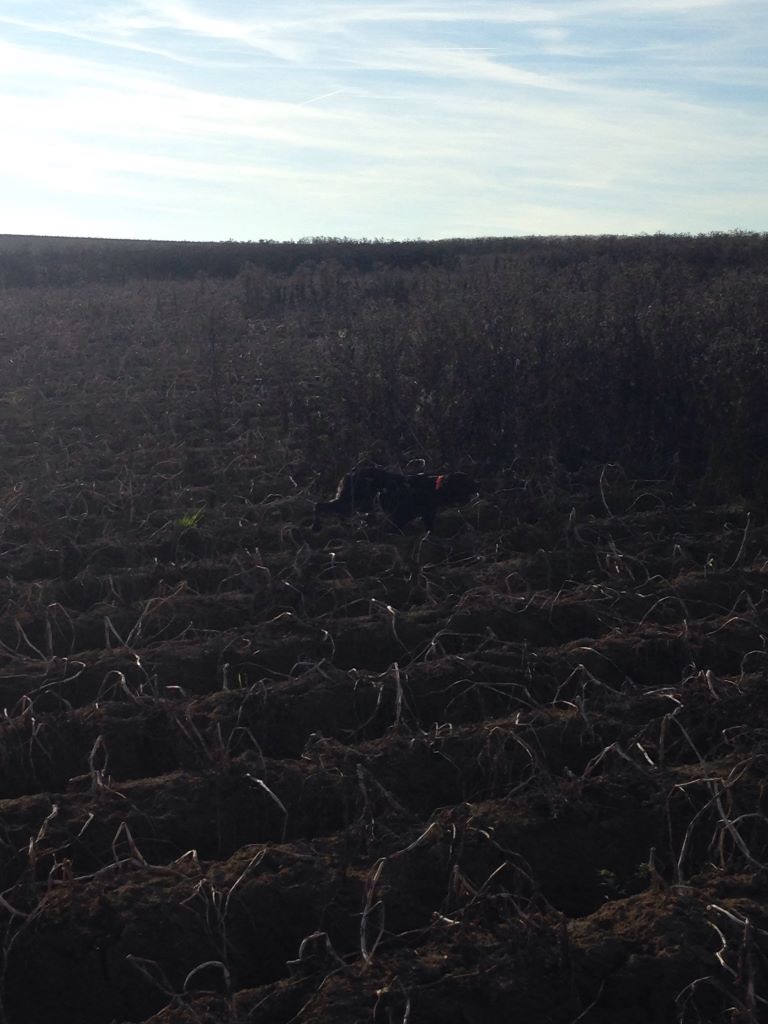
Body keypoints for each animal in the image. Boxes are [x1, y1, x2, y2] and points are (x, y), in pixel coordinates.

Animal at [315, 468, 479, 532]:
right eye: (467, 483)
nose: (478, 486)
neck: (432, 488)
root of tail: (349, 474)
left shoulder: (427, 516)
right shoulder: (399, 517)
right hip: (355, 502)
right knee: (319, 505)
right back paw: (316, 526)